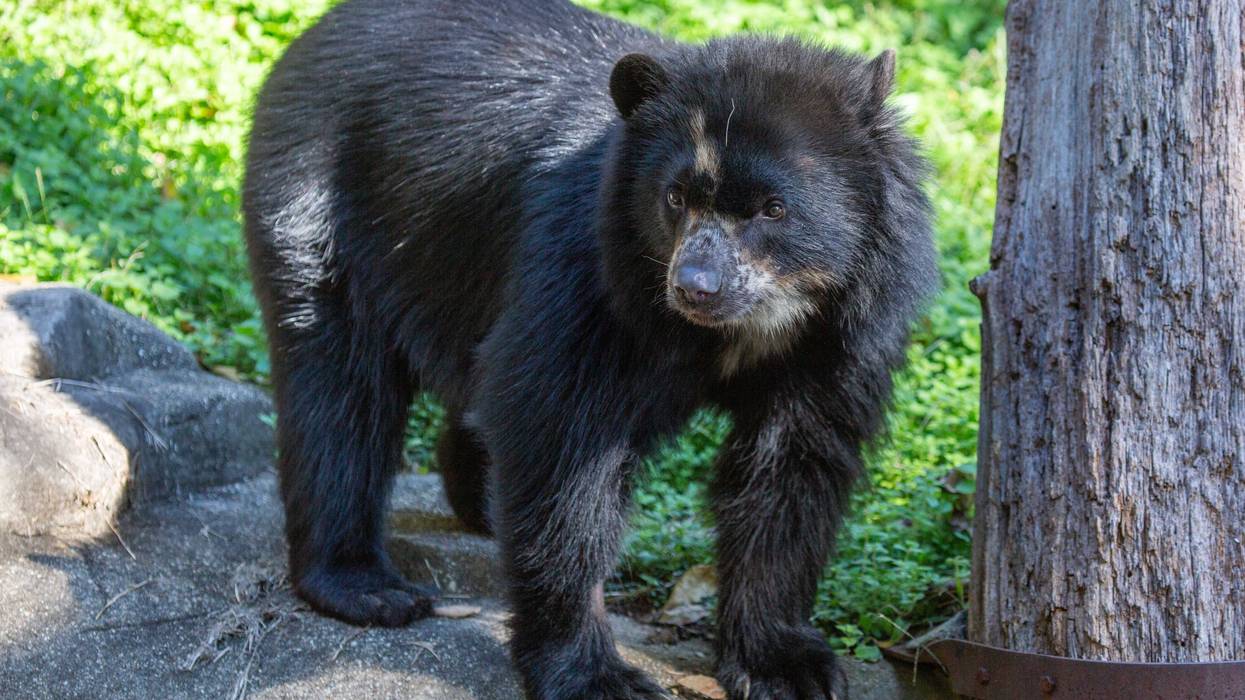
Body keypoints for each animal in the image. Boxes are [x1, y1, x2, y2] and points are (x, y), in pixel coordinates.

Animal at [242, 0, 936, 697]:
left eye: (772, 209)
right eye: (675, 197)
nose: (695, 286)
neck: (750, 326)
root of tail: (313, 34)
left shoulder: (837, 338)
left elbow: (790, 469)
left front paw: (784, 664)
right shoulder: (589, 274)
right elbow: (559, 447)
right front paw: (596, 674)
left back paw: (478, 502)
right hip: (319, 204)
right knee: (338, 390)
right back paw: (365, 586)